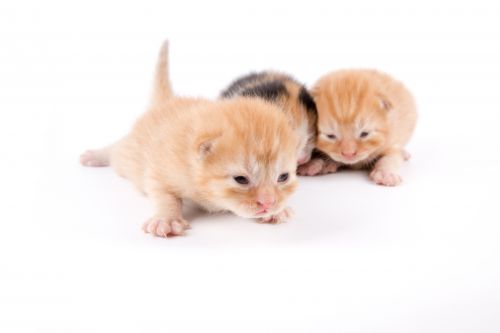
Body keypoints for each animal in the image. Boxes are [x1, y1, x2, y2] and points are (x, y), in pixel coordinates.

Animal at [77, 40, 296, 236]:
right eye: (241, 179)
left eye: (283, 177)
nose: (269, 202)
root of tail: (165, 102)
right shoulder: (159, 168)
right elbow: (164, 195)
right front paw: (166, 218)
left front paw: (279, 211)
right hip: (129, 155)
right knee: (117, 149)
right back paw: (95, 155)